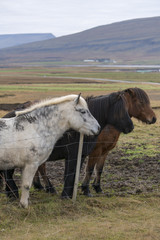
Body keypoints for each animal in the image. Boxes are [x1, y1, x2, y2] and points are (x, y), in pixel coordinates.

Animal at [0, 92, 134, 199]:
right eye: (121, 109)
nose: (131, 127)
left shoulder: (81, 156)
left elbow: (74, 174)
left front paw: (69, 194)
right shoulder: (73, 155)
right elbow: (70, 174)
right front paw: (66, 195)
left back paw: (11, 193)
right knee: (8, 174)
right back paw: (14, 193)